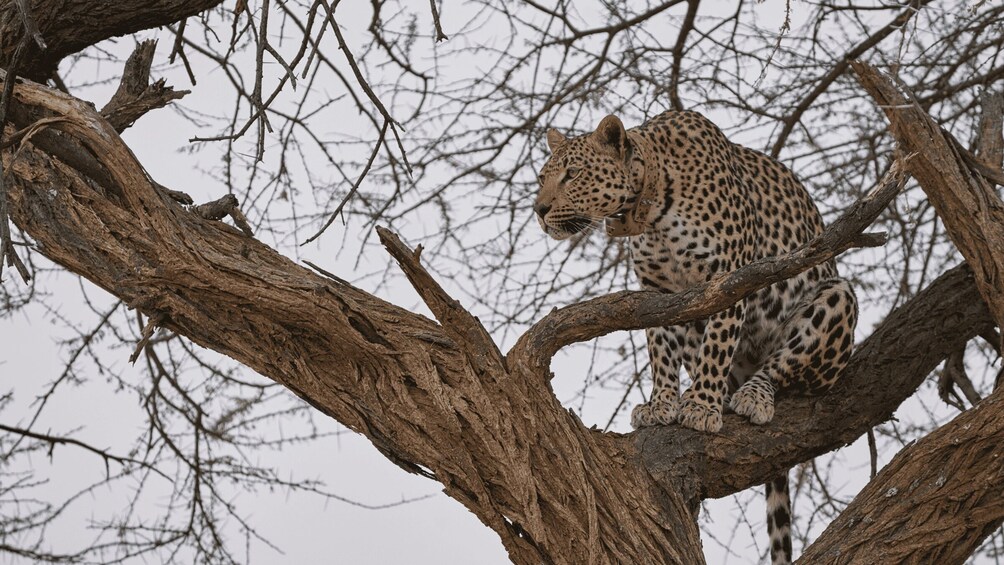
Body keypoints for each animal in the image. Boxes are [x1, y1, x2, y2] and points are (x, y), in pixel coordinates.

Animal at [533, 110, 857, 565]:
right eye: (543, 177)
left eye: (572, 174)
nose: (539, 209)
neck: (650, 209)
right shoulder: (659, 295)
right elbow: (659, 352)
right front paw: (662, 404)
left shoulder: (728, 278)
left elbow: (717, 346)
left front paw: (702, 407)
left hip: (836, 298)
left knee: (783, 371)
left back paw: (750, 396)